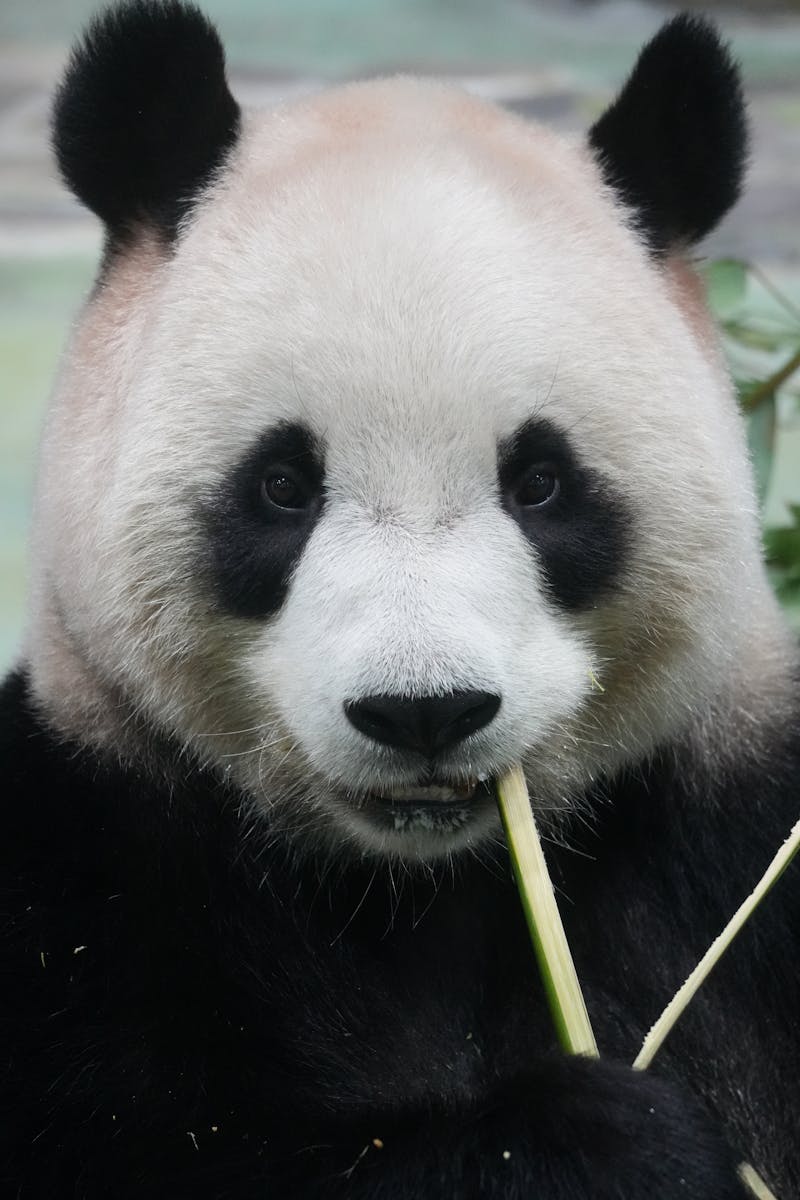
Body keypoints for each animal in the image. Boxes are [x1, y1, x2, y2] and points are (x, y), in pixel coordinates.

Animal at [1, 1, 798, 1196]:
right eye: (283, 485)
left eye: (539, 482)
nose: (422, 711)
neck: (425, 884)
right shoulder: (85, 876)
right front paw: (603, 1141)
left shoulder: (733, 833)